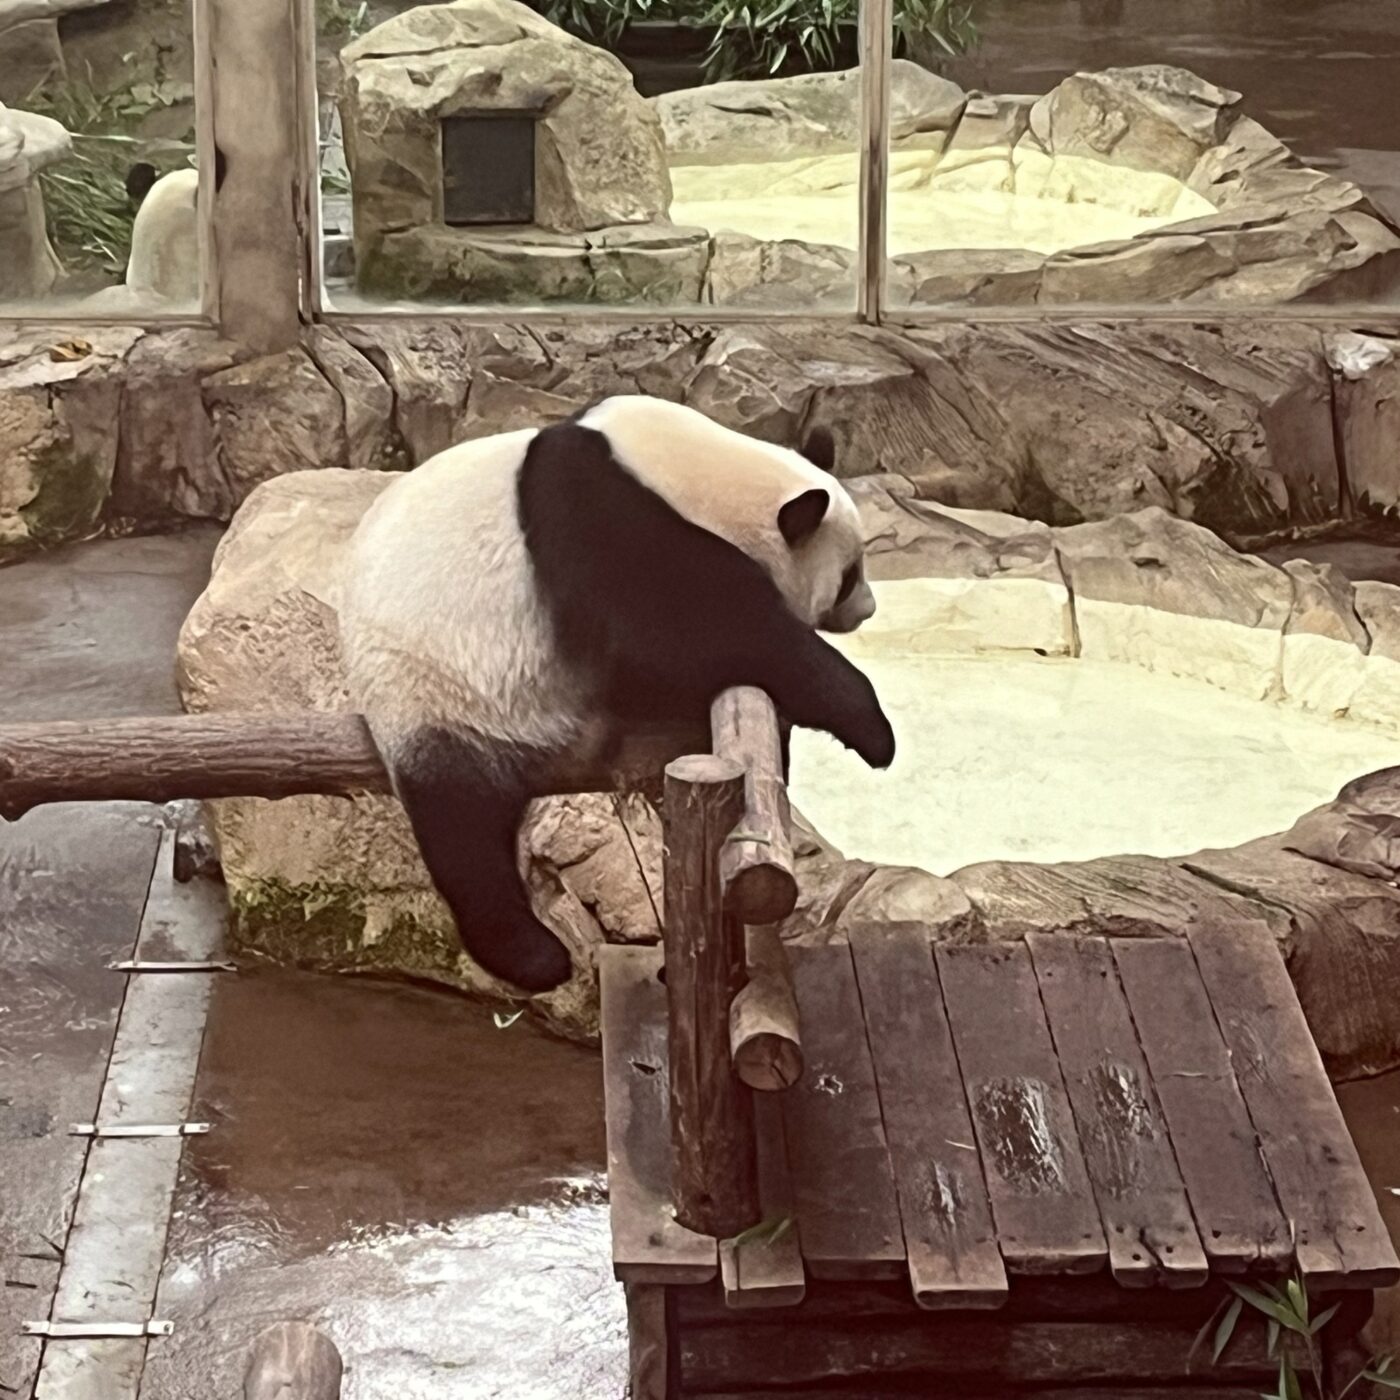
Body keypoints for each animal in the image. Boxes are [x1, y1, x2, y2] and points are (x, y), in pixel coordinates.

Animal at [338, 395, 895, 994]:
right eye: (849, 574)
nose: (868, 609)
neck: (689, 470)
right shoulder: (595, 509)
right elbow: (671, 632)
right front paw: (870, 727)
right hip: (436, 693)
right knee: (463, 826)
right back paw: (531, 955)